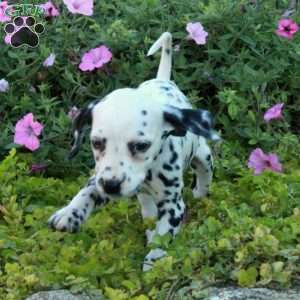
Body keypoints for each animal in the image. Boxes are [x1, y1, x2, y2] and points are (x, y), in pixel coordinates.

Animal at [48, 31, 219, 270]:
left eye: (141, 146)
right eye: (97, 143)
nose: (111, 185)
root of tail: (162, 80)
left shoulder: (173, 205)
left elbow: (164, 234)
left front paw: (155, 261)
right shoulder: (100, 178)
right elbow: (88, 191)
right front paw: (70, 213)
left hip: (202, 156)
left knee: (204, 174)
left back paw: (200, 193)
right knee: (148, 208)